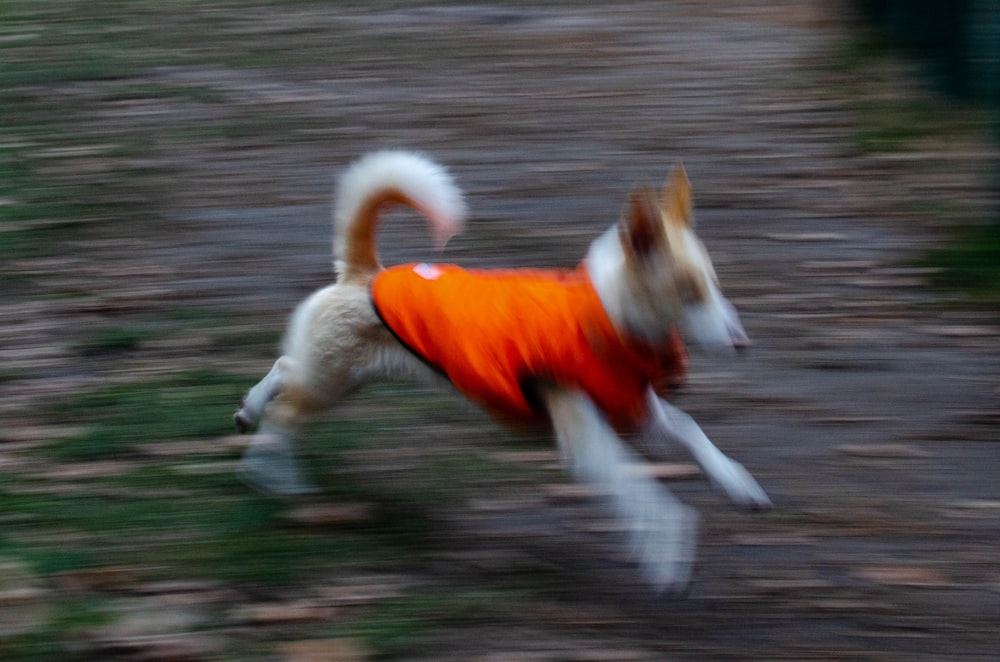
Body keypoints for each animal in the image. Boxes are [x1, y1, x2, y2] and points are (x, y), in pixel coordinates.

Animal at [236, 150, 772, 592]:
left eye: (714, 284)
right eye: (688, 293)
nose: (743, 344)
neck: (607, 319)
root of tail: (365, 275)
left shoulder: (639, 414)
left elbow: (692, 430)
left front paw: (737, 481)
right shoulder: (590, 442)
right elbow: (649, 495)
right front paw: (667, 553)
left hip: (340, 378)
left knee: (284, 370)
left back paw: (247, 414)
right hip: (331, 382)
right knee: (285, 414)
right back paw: (276, 476)